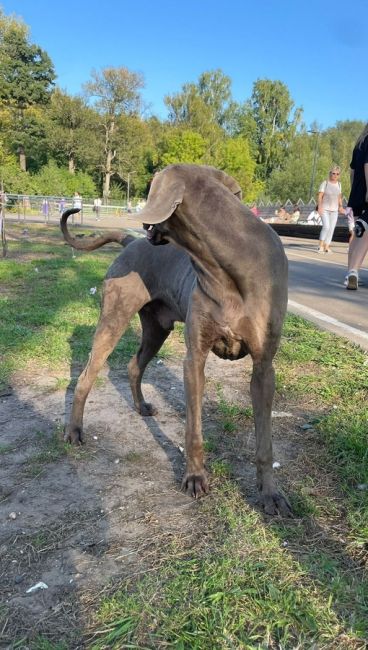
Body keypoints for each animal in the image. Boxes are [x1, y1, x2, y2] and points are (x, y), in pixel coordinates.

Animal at [60, 165, 290, 512]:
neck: (229, 264)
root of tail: (130, 242)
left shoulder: (264, 366)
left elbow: (265, 442)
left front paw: (270, 494)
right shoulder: (195, 358)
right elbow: (193, 429)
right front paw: (195, 478)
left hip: (157, 329)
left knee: (133, 365)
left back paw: (141, 406)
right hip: (114, 318)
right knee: (86, 376)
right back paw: (74, 431)